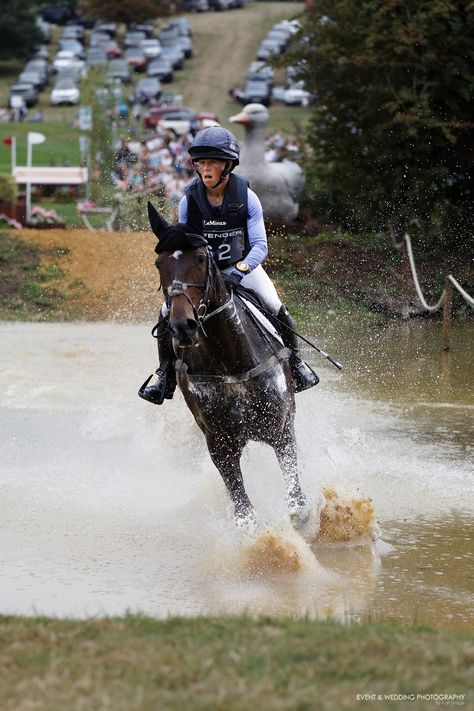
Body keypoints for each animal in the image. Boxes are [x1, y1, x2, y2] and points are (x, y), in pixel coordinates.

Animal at [149, 202, 312, 528]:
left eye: (201, 258)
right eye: (159, 264)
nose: (181, 326)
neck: (231, 362)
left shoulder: (282, 431)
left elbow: (297, 507)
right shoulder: (220, 445)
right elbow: (245, 515)